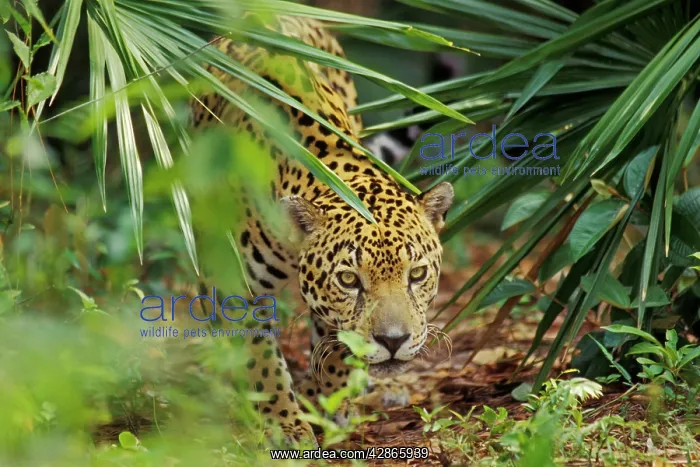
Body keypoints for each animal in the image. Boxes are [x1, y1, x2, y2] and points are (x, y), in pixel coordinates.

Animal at [191, 14, 454, 446]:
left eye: (417, 275)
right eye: (349, 280)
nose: (393, 341)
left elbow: (335, 342)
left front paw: (333, 401)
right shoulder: (236, 287)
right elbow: (260, 358)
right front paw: (284, 424)